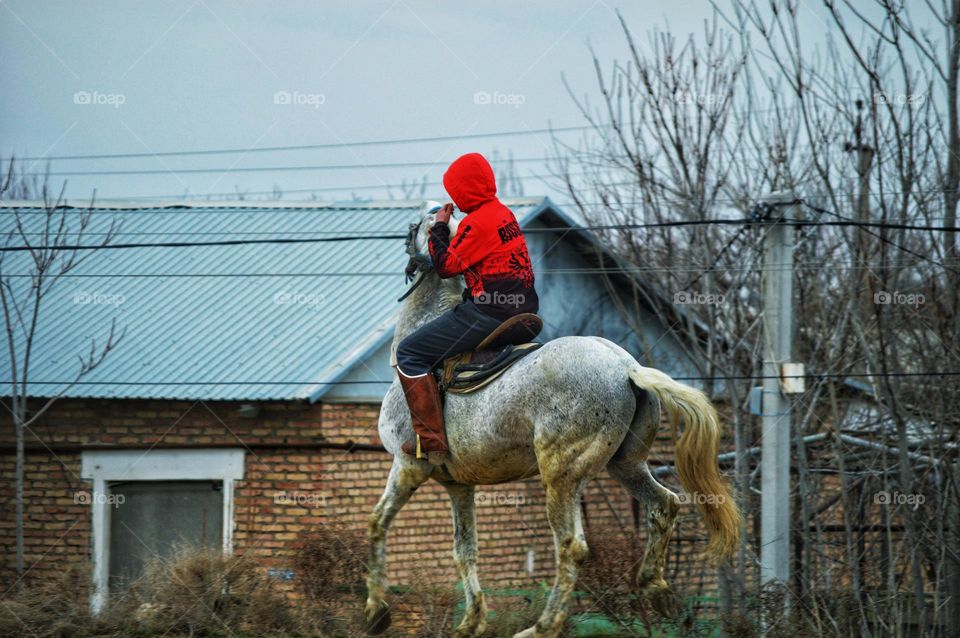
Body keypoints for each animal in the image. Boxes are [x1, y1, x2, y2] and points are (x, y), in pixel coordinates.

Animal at [364, 205, 740, 638]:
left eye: (422, 225)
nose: (406, 238)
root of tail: (627, 368)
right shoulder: (459, 486)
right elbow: (465, 551)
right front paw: (470, 623)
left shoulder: (407, 466)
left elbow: (377, 523)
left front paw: (376, 612)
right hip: (625, 464)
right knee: (664, 504)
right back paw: (656, 590)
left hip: (561, 475)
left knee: (571, 547)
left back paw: (542, 626)